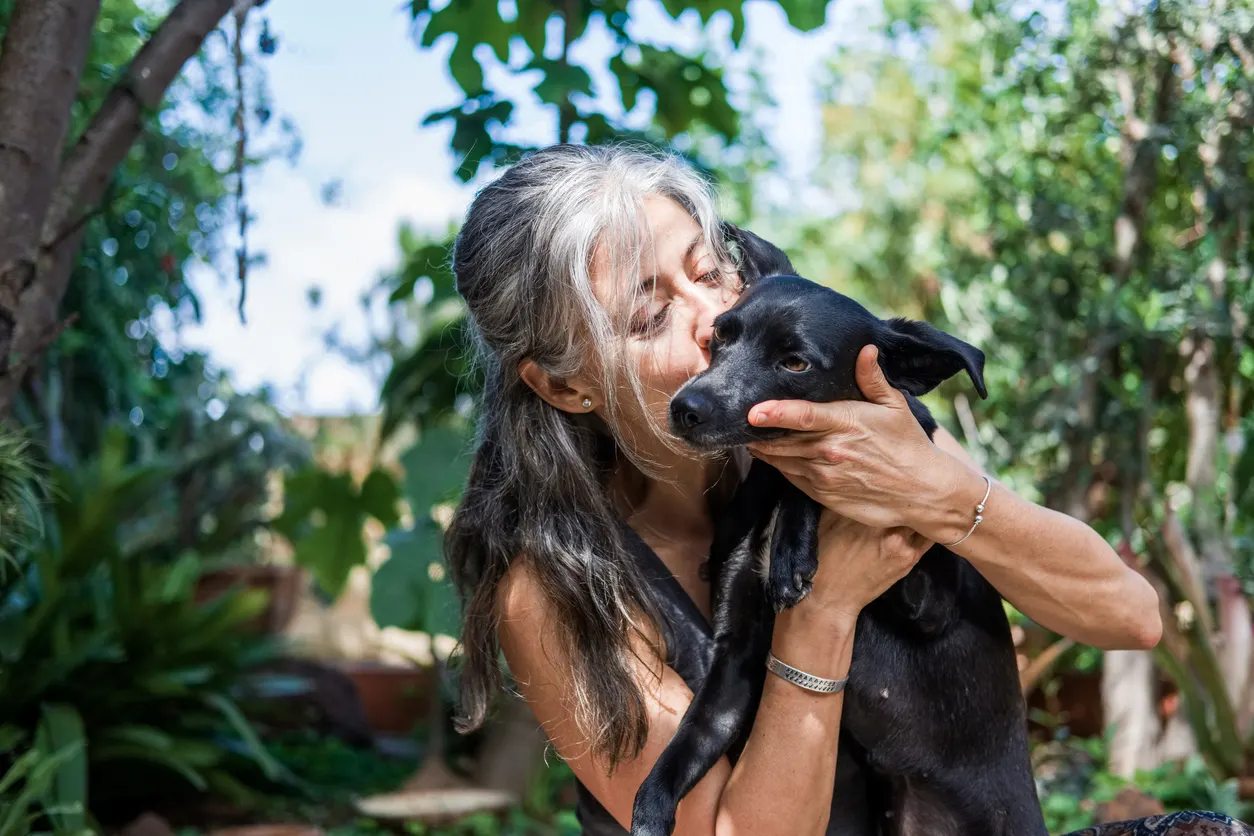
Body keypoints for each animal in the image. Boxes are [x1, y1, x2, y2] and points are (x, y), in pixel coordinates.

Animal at [627, 225, 1048, 836]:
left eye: (796, 363)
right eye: (718, 337)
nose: (685, 407)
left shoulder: (930, 595)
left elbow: (817, 473)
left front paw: (791, 550)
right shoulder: (734, 662)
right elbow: (683, 747)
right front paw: (650, 813)